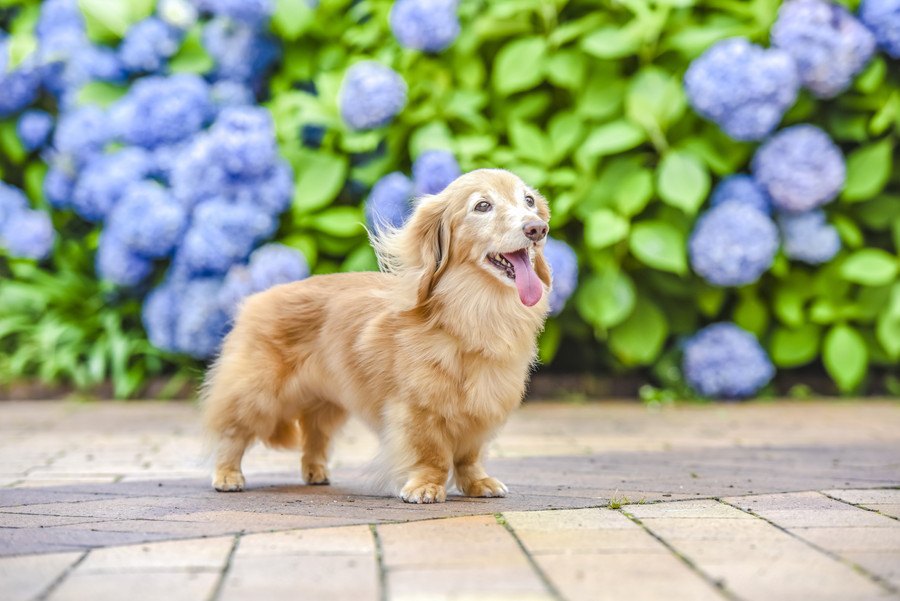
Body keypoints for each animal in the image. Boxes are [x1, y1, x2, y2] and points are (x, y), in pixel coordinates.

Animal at [201, 169, 552, 502]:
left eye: (529, 201)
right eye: (482, 206)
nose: (538, 229)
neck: (476, 314)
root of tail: (254, 300)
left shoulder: (483, 408)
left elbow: (470, 456)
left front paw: (478, 483)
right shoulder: (418, 409)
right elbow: (432, 455)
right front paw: (425, 487)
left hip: (325, 404)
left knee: (315, 437)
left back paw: (316, 472)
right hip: (256, 395)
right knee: (233, 434)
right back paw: (228, 475)